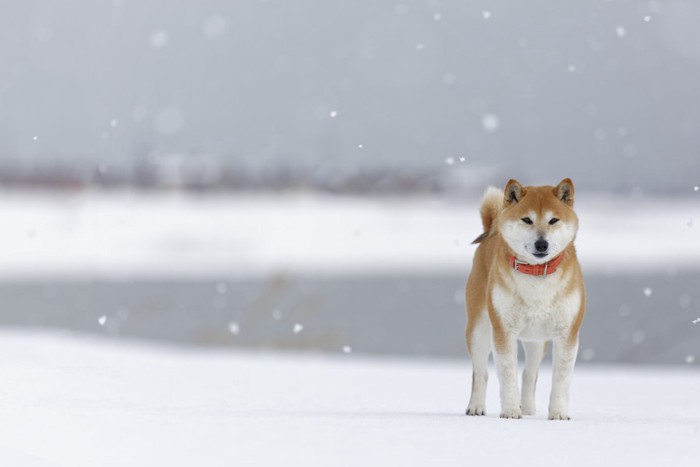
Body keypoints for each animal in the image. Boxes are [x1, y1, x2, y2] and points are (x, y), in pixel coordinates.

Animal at [464, 178, 584, 420]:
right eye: (527, 219)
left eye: (553, 220)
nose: (541, 244)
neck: (536, 274)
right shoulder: (503, 331)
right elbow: (507, 375)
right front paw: (511, 411)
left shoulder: (568, 333)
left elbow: (560, 380)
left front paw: (558, 413)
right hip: (478, 329)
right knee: (480, 373)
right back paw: (476, 407)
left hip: (537, 341)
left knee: (529, 374)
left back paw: (528, 409)